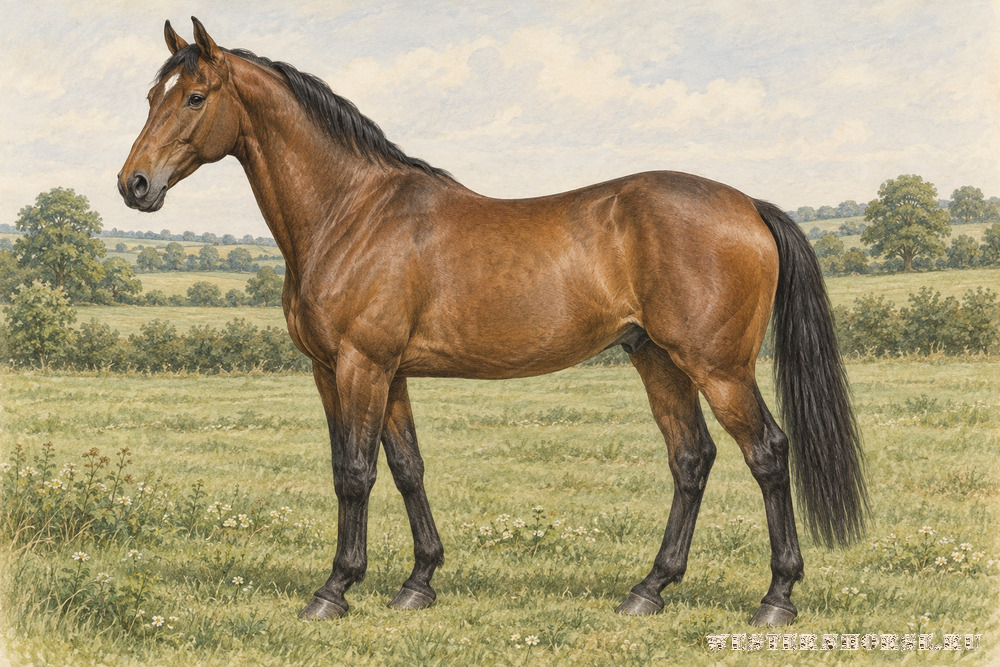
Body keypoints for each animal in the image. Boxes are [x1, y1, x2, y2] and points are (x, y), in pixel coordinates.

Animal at [118, 18, 867, 626]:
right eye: (151, 96)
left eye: (195, 96)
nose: (134, 185)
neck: (351, 212)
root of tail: (746, 205)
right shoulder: (372, 372)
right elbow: (406, 467)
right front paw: (418, 582)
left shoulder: (360, 365)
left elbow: (353, 472)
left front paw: (334, 590)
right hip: (656, 358)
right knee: (691, 459)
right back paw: (648, 589)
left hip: (719, 368)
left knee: (767, 452)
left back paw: (776, 598)